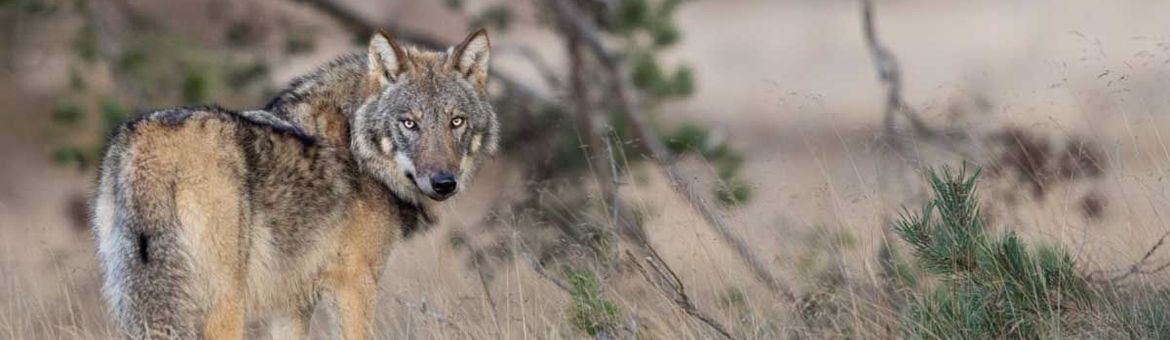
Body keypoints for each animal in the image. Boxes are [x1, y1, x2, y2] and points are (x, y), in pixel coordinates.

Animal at [87, 29, 498, 340]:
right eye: (409, 123)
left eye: (456, 122)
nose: (444, 183)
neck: (354, 142)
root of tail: (148, 144)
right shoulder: (354, 284)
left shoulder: (292, 305)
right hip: (223, 306)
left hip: (137, 301)